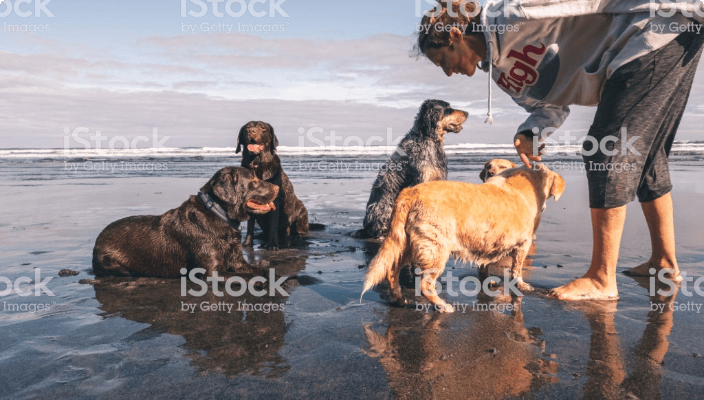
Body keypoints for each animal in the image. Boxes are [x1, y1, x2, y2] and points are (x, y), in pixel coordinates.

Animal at [93, 167, 278, 276]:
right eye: (254, 181)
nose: (277, 187)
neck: (219, 214)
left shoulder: (238, 261)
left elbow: (258, 269)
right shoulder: (212, 270)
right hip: (110, 262)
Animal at [236, 120, 308, 250]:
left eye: (262, 127)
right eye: (247, 128)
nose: (251, 131)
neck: (257, 164)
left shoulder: (275, 201)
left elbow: (273, 226)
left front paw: (273, 244)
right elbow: (250, 226)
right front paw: (247, 243)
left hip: (302, 210)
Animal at [364, 163, 568, 312]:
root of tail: (409, 193)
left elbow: (486, 265)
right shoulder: (522, 245)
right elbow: (517, 269)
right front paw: (522, 285)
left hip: (409, 243)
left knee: (391, 270)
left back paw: (398, 299)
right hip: (435, 248)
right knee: (424, 284)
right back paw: (441, 306)